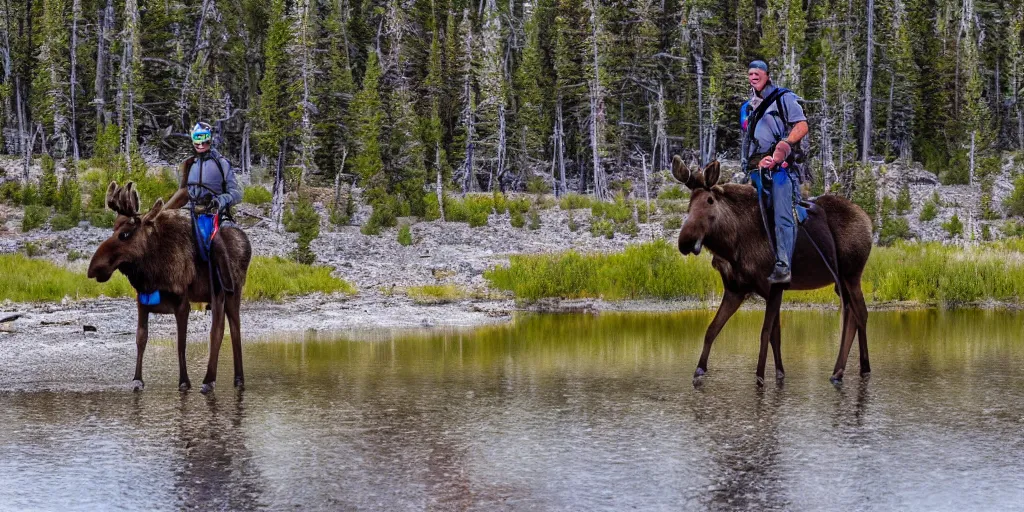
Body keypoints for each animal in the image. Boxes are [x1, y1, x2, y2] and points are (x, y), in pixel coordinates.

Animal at [90, 182, 253, 393]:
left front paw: (184, 381)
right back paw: (235, 378)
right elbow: (141, 338)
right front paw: (137, 379)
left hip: (228, 290)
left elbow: (181, 343)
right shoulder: (142, 299)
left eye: (124, 234)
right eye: (113, 229)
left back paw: (212, 379)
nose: (93, 268)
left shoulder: (182, 302)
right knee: (231, 327)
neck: (152, 271)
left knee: (223, 328)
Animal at [671, 156, 872, 387]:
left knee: (861, 313)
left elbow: (765, 333)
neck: (731, 246)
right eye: (689, 204)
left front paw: (760, 376)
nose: (686, 241)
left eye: (709, 201)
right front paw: (699, 370)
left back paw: (863, 369)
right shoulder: (736, 291)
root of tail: (868, 221)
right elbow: (714, 330)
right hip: (841, 283)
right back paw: (838, 371)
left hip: (852, 275)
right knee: (852, 315)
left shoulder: (774, 287)